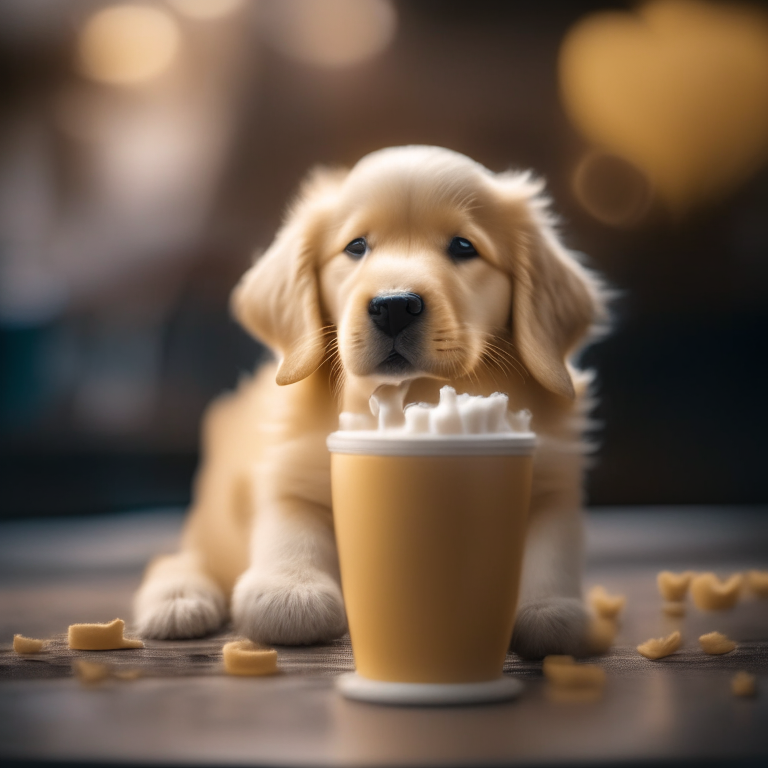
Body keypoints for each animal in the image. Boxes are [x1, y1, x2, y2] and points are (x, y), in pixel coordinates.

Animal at [135, 146, 608, 660]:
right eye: (356, 247)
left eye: (464, 247)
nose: (395, 305)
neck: (411, 394)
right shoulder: (289, 466)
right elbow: (290, 521)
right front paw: (290, 591)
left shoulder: (554, 478)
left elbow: (552, 543)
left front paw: (553, 608)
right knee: (182, 556)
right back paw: (177, 597)